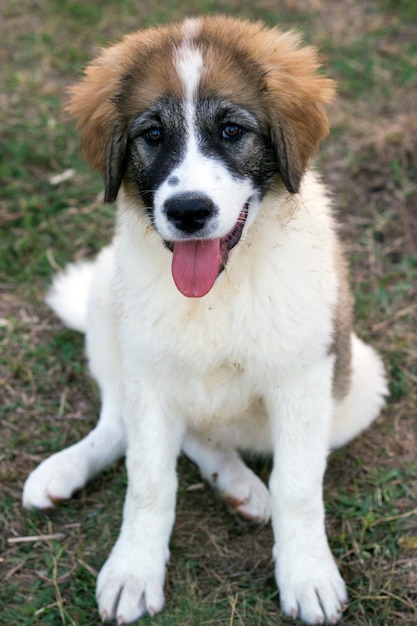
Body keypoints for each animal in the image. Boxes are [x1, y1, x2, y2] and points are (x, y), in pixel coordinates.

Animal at [22, 17, 386, 620]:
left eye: (232, 130)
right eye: (151, 135)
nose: (188, 211)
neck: (220, 286)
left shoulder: (305, 380)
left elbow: (296, 485)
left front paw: (307, 574)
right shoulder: (149, 374)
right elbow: (148, 479)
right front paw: (133, 571)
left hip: (360, 387)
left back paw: (241, 486)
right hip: (106, 301)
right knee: (121, 421)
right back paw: (67, 470)